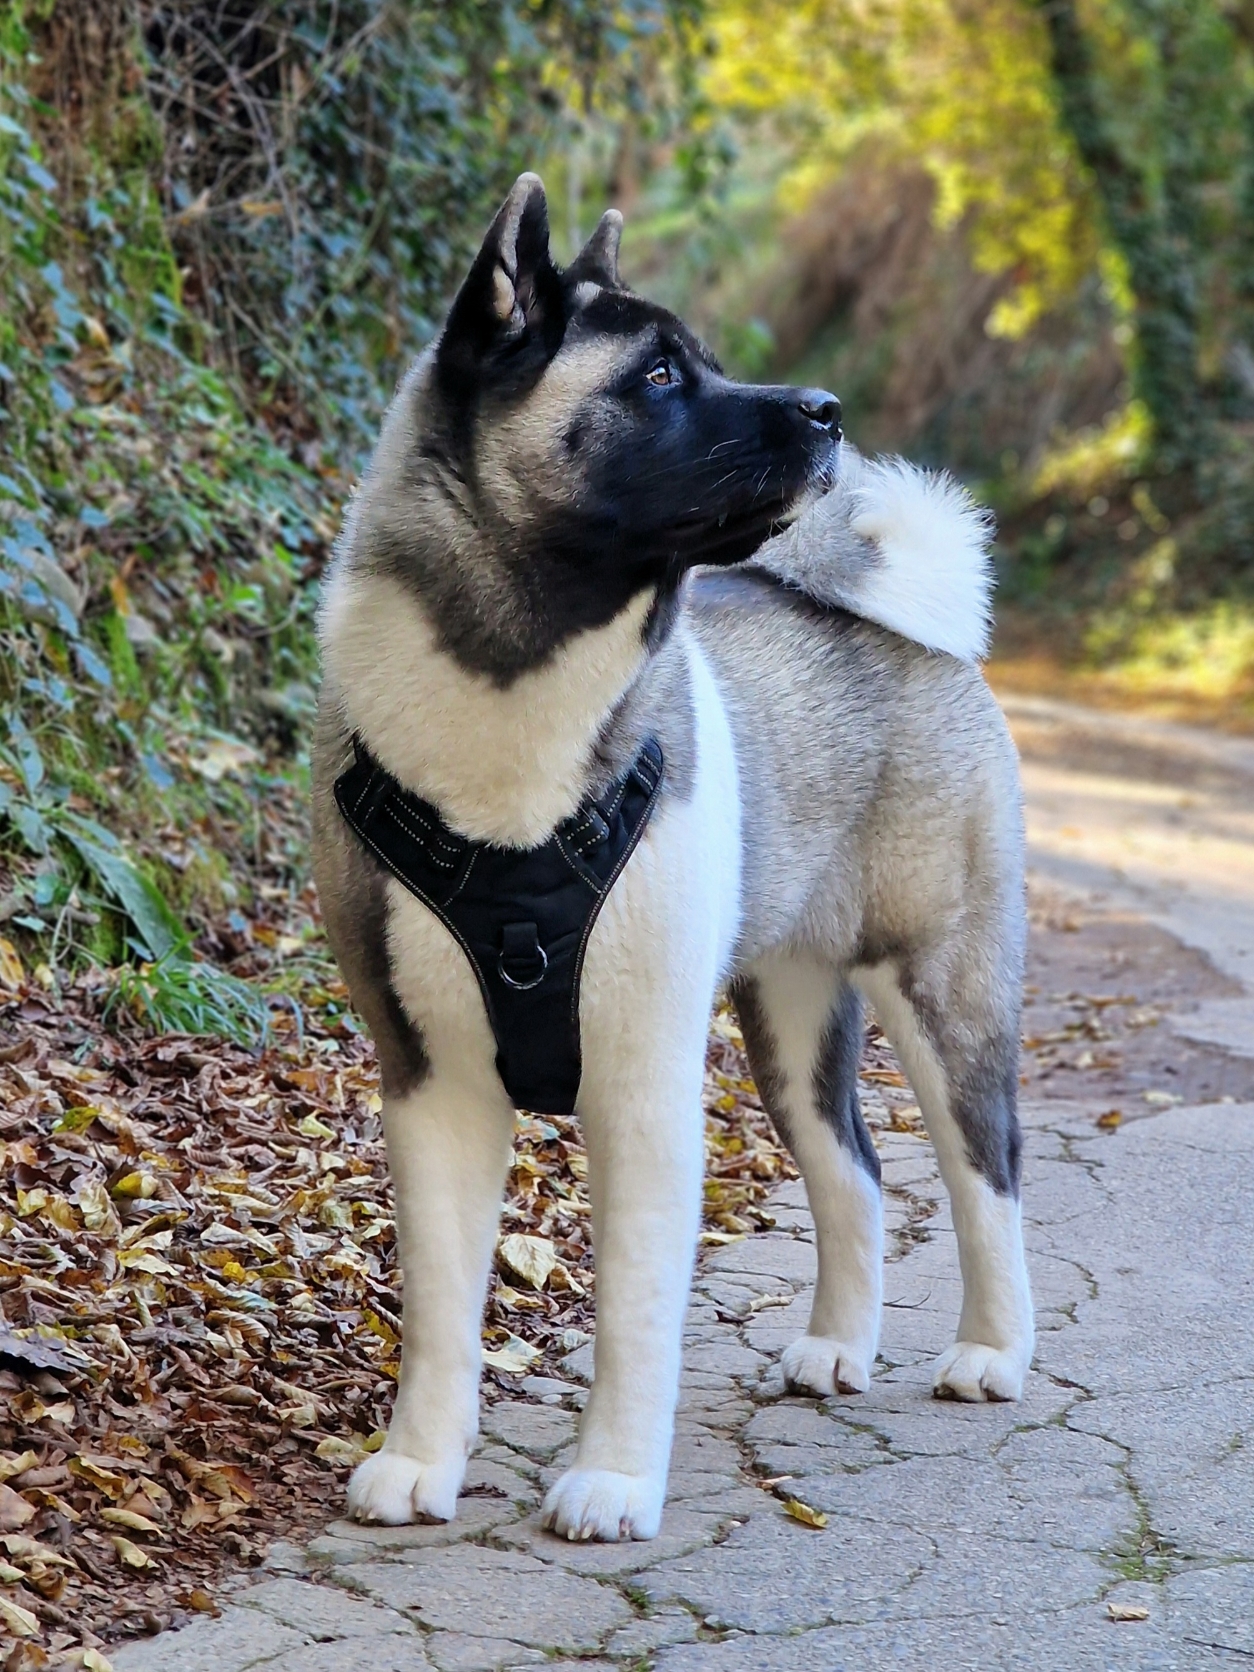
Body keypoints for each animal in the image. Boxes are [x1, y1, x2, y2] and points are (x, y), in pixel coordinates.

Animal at [309, 173, 1036, 1538]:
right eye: (655, 376)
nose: (826, 409)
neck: (522, 687)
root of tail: (906, 624)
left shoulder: (640, 1086)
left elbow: (634, 1315)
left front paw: (608, 1475)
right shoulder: (431, 1083)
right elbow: (440, 1304)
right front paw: (424, 1455)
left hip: (944, 992)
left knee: (987, 1175)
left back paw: (992, 1351)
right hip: (791, 1018)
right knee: (854, 1174)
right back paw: (837, 1346)